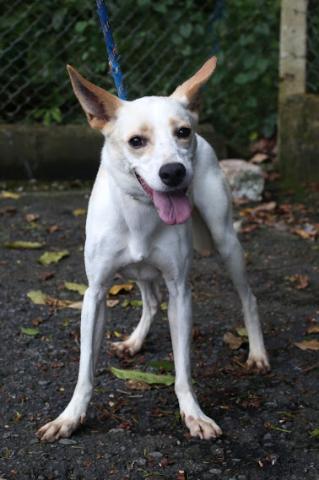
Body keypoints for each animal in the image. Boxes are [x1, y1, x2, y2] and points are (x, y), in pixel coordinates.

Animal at [37, 57, 270, 442]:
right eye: (136, 141)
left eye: (182, 132)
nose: (174, 172)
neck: (141, 213)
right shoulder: (95, 293)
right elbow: (85, 370)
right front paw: (70, 417)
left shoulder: (181, 291)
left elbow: (183, 369)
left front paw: (193, 414)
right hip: (142, 271)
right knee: (150, 300)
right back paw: (134, 341)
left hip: (226, 242)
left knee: (248, 298)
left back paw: (258, 353)